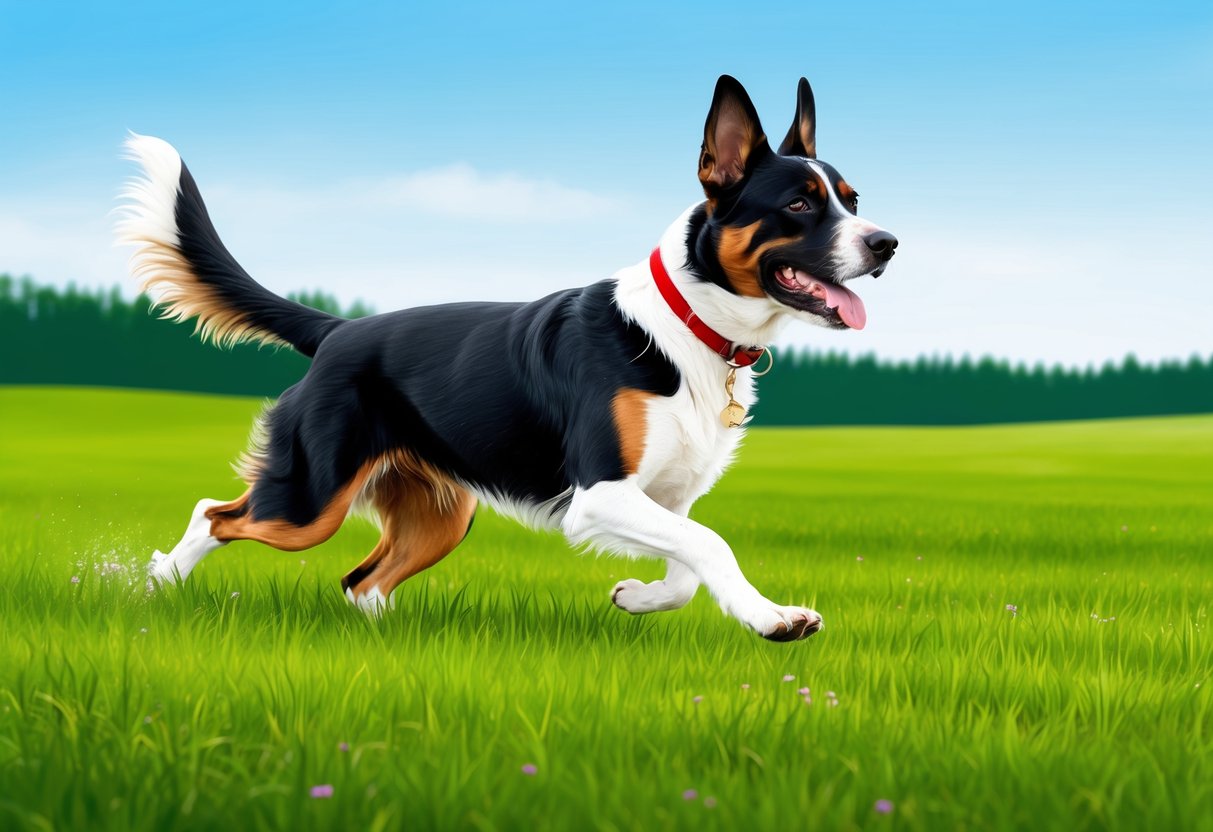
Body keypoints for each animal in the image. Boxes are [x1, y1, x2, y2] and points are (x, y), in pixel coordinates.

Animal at [118, 74, 897, 640]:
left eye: (852, 199)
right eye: (798, 205)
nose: (887, 244)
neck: (687, 328)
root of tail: (339, 331)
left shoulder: (666, 496)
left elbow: (686, 561)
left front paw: (634, 595)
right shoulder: (600, 491)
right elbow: (711, 545)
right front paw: (774, 619)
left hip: (440, 514)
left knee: (360, 580)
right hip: (312, 497)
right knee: (217, 515)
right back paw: (153, 587)